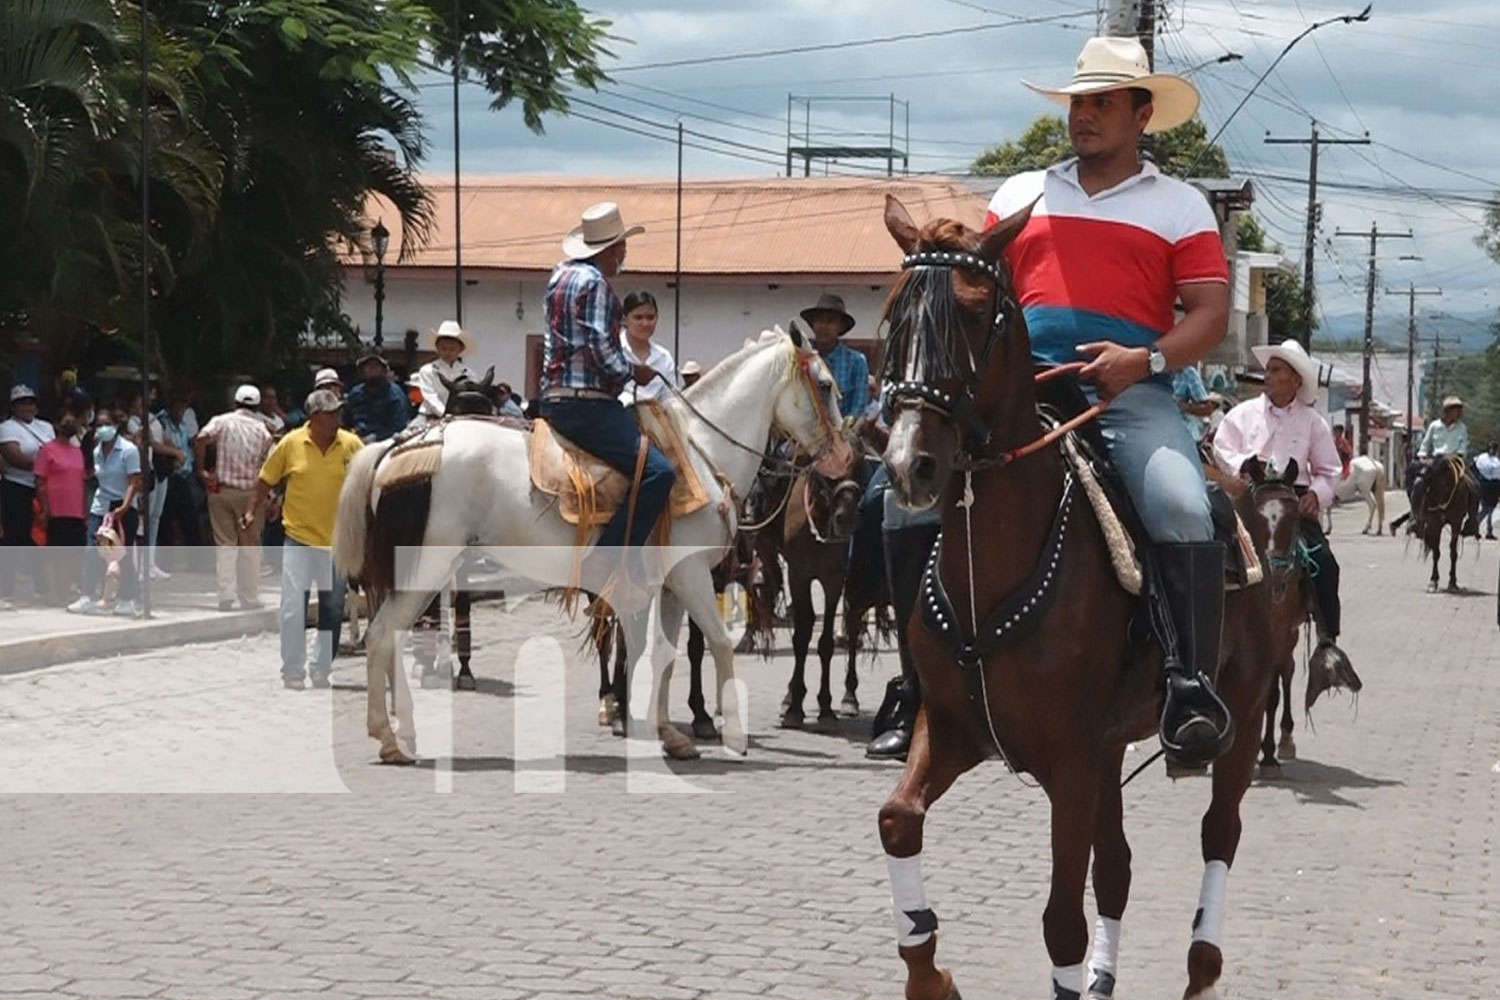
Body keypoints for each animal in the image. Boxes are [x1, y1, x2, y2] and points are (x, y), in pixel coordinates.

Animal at [336, 325, 852, 761]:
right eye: (826, 385)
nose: (845, 459)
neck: (701, 452)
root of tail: (396, 448)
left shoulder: (671, 584)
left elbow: (664, 654)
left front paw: (670, 734)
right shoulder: (691, 576)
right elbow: (720, 643)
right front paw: (735, 736)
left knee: (392, 637)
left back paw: (401, 733)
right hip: (427, 567)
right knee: (384, 635)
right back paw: (391, 740)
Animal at [876, 194, 1284, 1000]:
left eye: (973, 312)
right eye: (896, 313)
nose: (911, 465)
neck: (992, 572)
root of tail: (1238, 492)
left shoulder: (1068, 761)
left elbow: (1061, 919)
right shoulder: (958, 729)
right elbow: (898, 819)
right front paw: (929, 973)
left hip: (1242, 714)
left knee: (1219, 834)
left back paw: (1201, 969)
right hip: (1110, 748)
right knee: (1118, 863)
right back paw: (1103, 974)